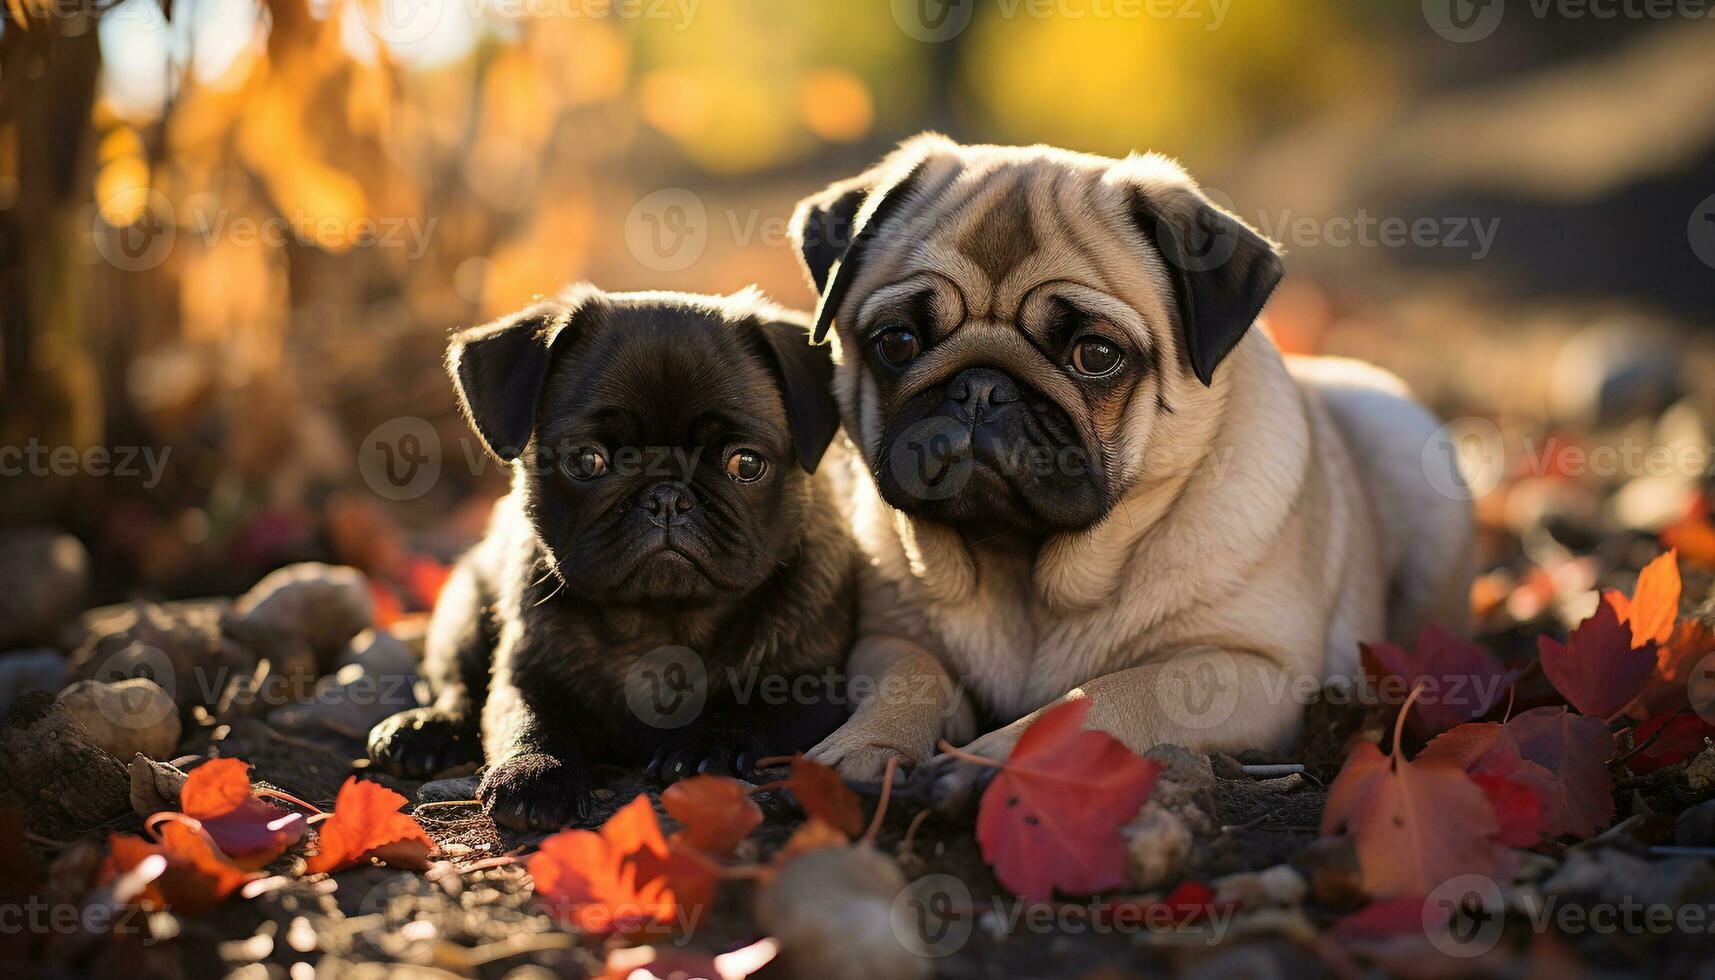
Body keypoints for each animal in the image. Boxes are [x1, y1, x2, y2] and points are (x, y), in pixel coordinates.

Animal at [373, 283, 857, 827]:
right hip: (464, 605)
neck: (660, 622)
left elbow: (756, 709)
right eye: (587, 461)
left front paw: (708, 743)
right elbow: (529, 718)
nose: (666, 496)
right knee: (456, 686)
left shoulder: (815, 686)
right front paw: (533, 774)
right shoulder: (526, 674)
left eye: (746, 464)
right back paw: (424, 730)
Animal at [788, 136, 1474, 796]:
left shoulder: (1245, 669)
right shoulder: (888, 640)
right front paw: (868, 744)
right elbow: (910, 678)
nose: (981, 387)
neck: (1029, 578)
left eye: (1095, 355)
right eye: (897, 342)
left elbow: (1107, 693)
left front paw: (1003, 757)